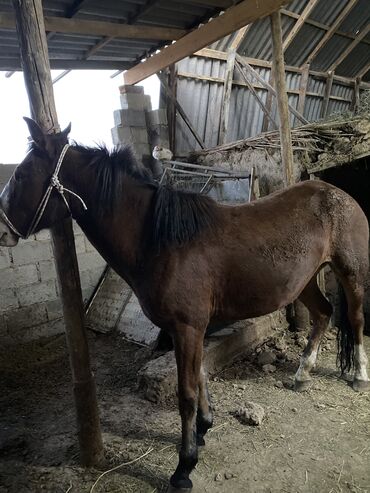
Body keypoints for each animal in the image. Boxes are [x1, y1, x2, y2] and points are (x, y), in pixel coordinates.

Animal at [0, 118, 368, 488]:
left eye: (21, 175)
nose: (2, 231)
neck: (162, 240)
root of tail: (337, 193)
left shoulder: (187, 327)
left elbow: (186, 392)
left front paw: (184, 465)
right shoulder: (193, 329)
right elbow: (201, 375)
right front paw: (204, 428)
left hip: (350, 273)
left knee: (355, 318)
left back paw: (359, 376)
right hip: (304, 281)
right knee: (324, 314)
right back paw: (302, 374)